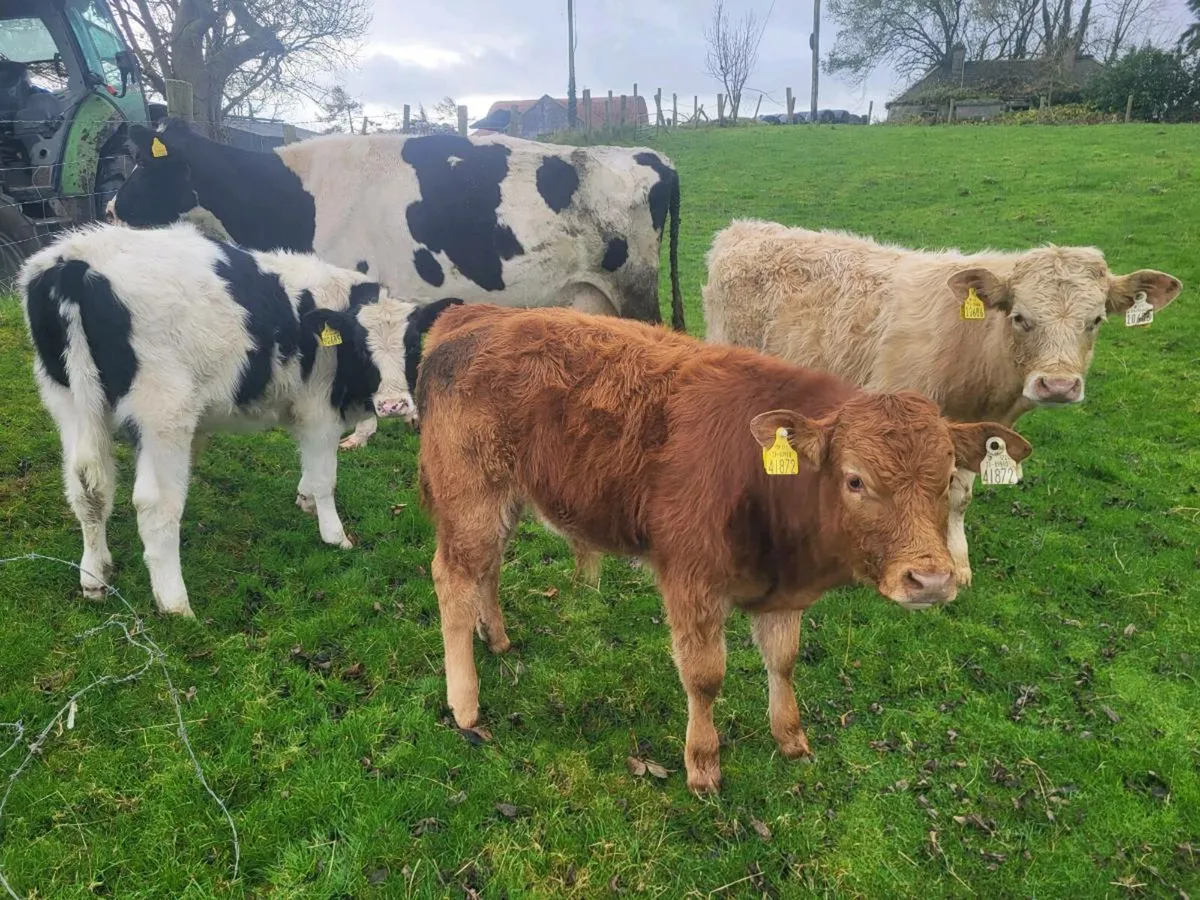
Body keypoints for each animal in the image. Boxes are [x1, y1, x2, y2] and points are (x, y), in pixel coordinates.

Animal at [20, 222, 459, 618]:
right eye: (360, 344)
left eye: (411, 342)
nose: (394, 405)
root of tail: (74, 259)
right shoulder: (318, 411)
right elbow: (325, 478)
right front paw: (334, 535)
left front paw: (304, 500)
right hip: (163, 415)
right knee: (156, 506)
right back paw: (175, 604)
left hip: (69, 404)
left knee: (87, 491)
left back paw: (94, 575)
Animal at [104, 119, 686, 449]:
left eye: (141, 166)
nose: (108, 208)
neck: (296, 197)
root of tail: (649, 156)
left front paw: (364, 429)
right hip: (592, 294)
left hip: (635, 286)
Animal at [414, 304, 1032, 794]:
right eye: (855, 480)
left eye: (947, 477)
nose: (930, 581)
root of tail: (474, 315)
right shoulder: (691, 582)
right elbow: (705, 676)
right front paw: (703, 763)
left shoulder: (782, 596)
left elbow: (783, 660)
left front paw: (791, 738)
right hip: (469, 495)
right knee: (452, 578)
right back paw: (465, 702)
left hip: (501, 502)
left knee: (487, 570)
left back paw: (497, 638)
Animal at [702, 220, 1182, 584]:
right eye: (1020, 317)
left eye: (1096, 320)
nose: (1059, 385)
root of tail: (743, 229)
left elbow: (957, 496)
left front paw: (956, 561)